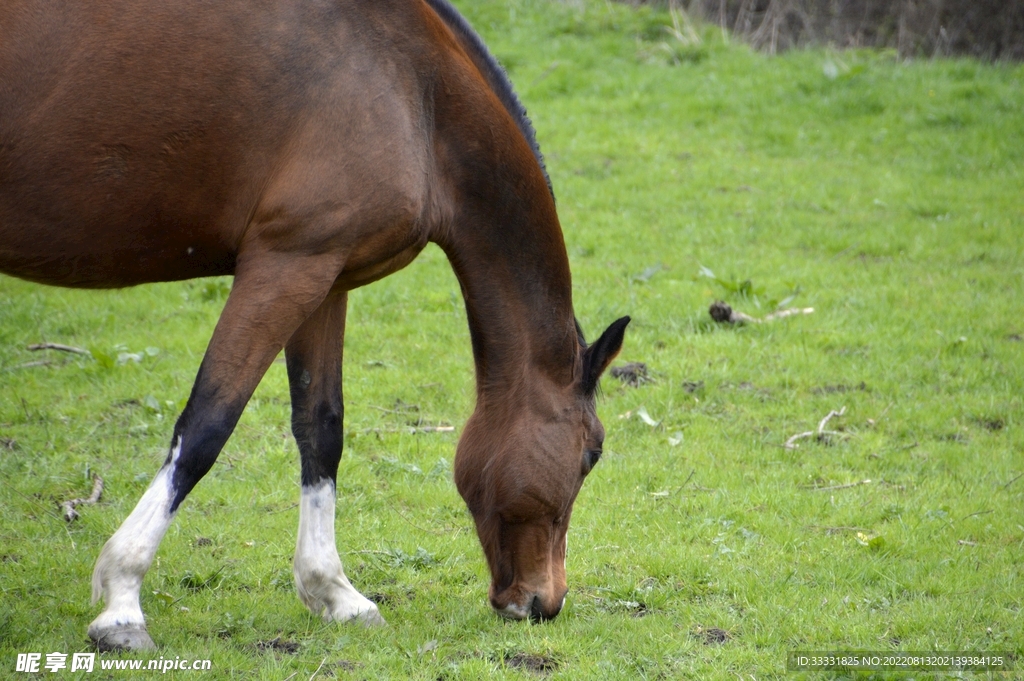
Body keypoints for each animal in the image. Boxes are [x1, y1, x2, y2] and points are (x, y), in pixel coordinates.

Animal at [0, 0, 629, 650]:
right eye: (592, 454)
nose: (544, 602)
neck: (418, 92)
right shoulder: (284, 264)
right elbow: (205, 426)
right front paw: (123, 601)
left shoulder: (326, 273)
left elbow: (320, 426)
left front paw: (334, 591)